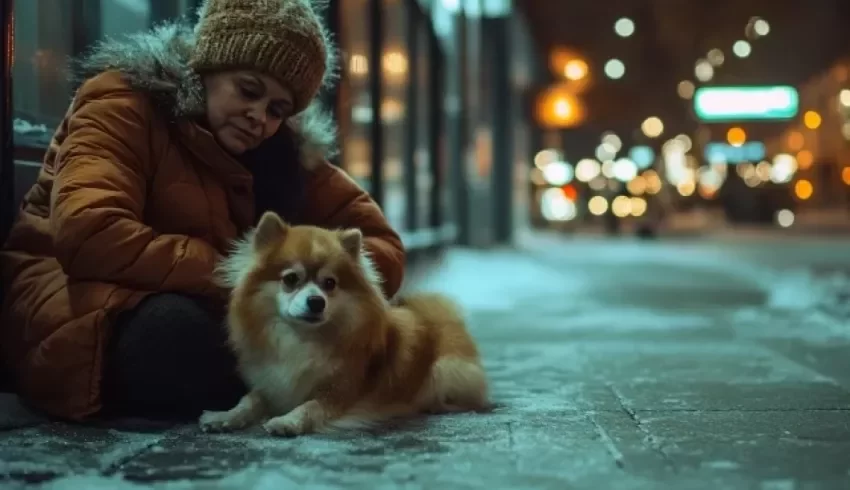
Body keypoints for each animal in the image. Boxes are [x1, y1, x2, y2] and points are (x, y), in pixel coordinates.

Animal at [198, 211, 486, 436]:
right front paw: (224, 416)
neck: (301, 339)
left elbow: (309, 407)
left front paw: (287, 421)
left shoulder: (339, 392)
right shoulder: (271, 385)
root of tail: (440, 317)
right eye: (290, 279)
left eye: (330, 283)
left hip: (446, 370)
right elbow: (249, 400)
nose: (316, 301)